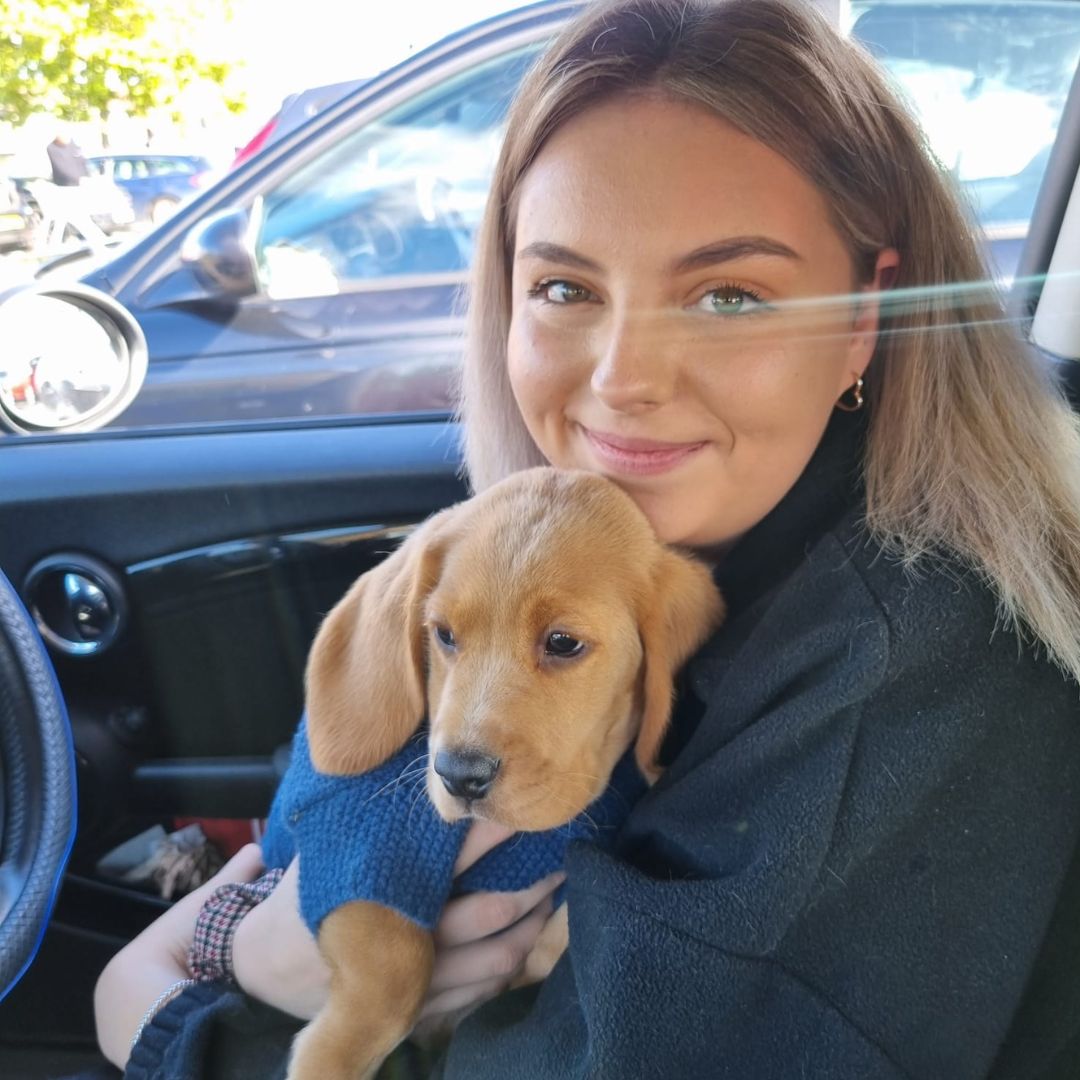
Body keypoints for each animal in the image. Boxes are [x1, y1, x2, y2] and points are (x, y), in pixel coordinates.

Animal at [266, 468, 725, 1080]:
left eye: (563, 642)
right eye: (442, 634)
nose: (458, 775)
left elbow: (562, 930)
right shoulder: (347, 830)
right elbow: (393, 967)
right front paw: (331, 1057)